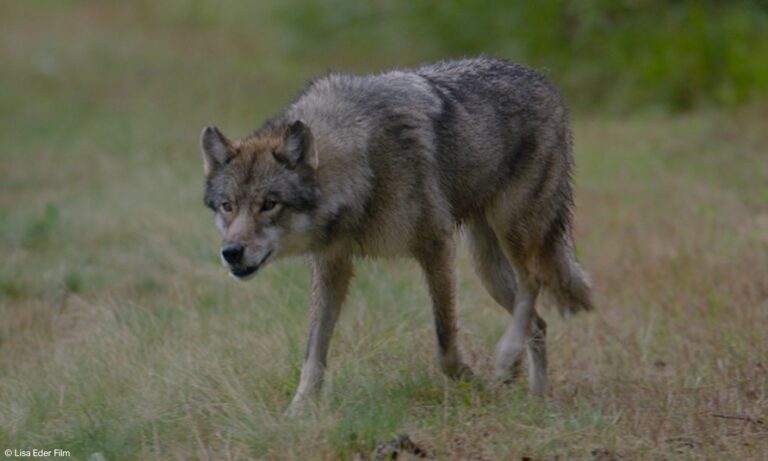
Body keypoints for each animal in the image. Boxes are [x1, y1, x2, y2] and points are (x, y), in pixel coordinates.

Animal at [198, 56, 592, 410]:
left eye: (269, 204)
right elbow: (313, 355)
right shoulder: (331, 266)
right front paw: (298, 414)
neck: (365, 166)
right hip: (486, 267)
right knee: (540, 322)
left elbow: (445, 347)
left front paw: (474, 382)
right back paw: (536, 399)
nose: (231, 252)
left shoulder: (436, 247)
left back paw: (508, 359)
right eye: (227, 206)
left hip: (513, 232)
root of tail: (543, 81)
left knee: (534, 282)